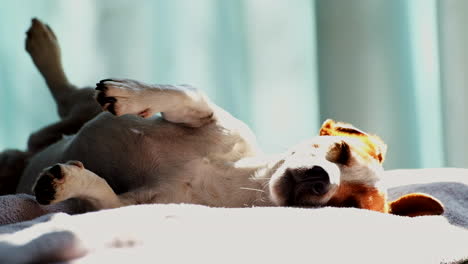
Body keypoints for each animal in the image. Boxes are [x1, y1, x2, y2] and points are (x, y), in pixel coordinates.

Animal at [7, 18, 444, 217]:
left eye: (349, 205)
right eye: (339, 151)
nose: (321, 178)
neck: (236, 183)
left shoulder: (128, 204)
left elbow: (100, 194)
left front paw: (67, 182)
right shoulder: (209, 115)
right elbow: (187, 95)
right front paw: (130, 95)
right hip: (80, 110)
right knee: (69, 95)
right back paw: (44, 45)